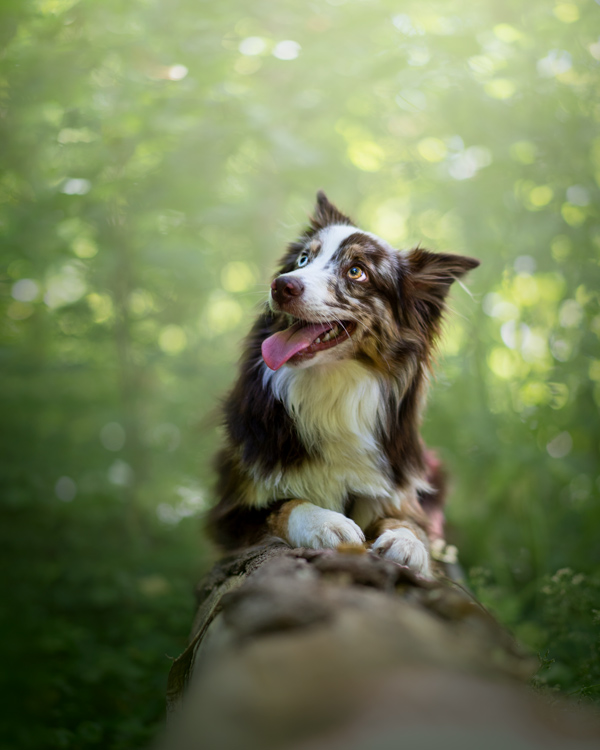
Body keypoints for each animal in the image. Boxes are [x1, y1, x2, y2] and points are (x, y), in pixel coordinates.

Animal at [206, 192, 478, 576]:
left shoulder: (397, 491)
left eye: (356, 272)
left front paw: (407, 542)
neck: (334, 387)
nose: (282, 285)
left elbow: (411, 523)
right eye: (303, 259)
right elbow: (285, 504)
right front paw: (326, 523)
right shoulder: (232, 510)